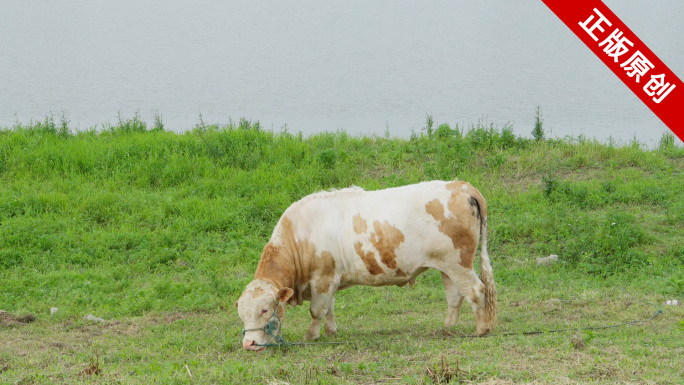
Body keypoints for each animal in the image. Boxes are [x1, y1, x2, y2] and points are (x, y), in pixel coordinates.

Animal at [236, 180, 496, 352]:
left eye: (265, 310)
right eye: (241, 314)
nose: (249, 343)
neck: (300, 235)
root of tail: (462, 186)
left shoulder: (322, 278)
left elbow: (317, 310)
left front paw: (311, 336)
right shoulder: (329, 281)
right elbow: (329, 309)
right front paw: (331, 332)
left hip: (459, 264)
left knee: (477, 291)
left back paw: (481, 330)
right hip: (447, 267)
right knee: (455, 297)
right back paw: (447, 328)